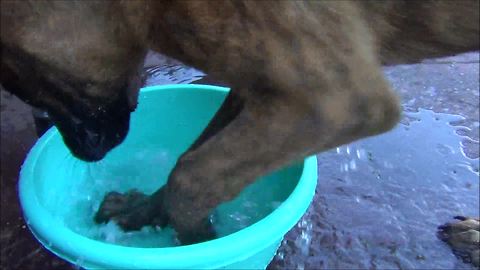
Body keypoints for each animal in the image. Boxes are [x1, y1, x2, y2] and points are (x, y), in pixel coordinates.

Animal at [0, 0, 478, 264]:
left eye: (25, 84)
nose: (83, 152)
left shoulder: (335, 102)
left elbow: (193, 175)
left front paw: (199, 242)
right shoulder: (258, 84)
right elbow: (190, 158)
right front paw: (144, 213)